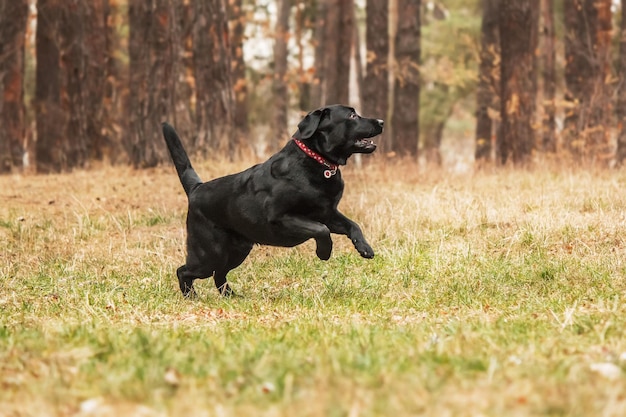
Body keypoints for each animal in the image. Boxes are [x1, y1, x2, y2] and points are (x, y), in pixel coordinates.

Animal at [162, 105, 380, 298]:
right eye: (352, 116)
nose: (381, 121)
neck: (316, 163)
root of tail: (196, 188)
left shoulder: (327, 213)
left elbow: (353, 225)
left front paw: (365, 248)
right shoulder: (281, 217)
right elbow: (321, 230)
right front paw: (324, 253)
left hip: (237, 250)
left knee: (219, 275)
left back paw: (232, 296)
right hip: (209, 253)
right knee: (184, 271)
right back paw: (191, 297)